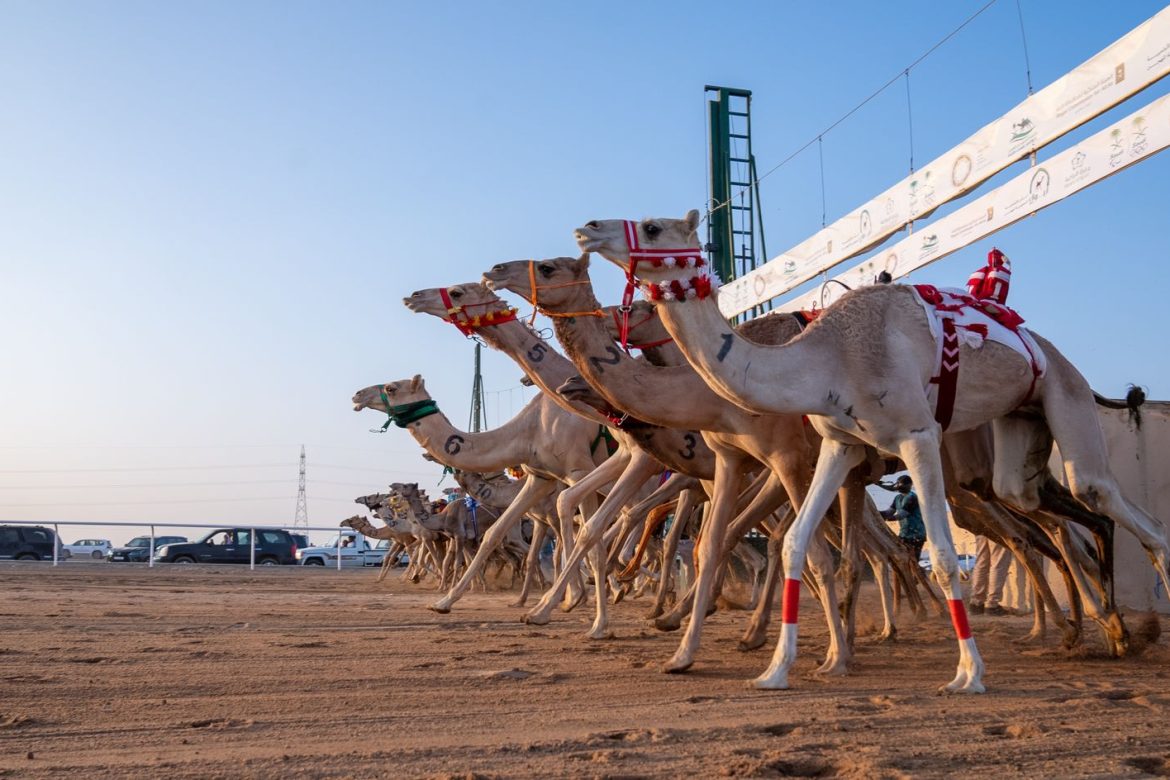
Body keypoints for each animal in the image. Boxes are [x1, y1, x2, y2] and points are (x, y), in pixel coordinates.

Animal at [577, 210, 1170, 692]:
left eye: (653, 226)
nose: (587, 229)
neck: (828, 357)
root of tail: (1053, 352)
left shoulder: (917, 435)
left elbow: (942, 555)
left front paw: (968, 674)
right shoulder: (839, 444)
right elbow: (798, 544)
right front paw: (777, 670)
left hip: (1062, 393)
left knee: (1108, 501)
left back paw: (1116, 626)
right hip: (1016, 433)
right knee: (1048, 505)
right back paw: (1113, 631)